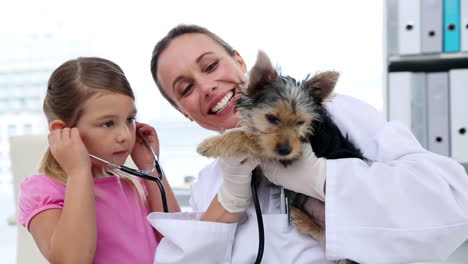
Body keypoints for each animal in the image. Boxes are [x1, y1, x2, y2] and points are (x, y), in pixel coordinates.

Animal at [196, 50, 364, 262]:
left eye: (300, 123)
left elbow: (247, 137)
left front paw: (212, 144)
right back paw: (302, 218)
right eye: (271, 118)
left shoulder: (290, 156)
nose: (285, 150)